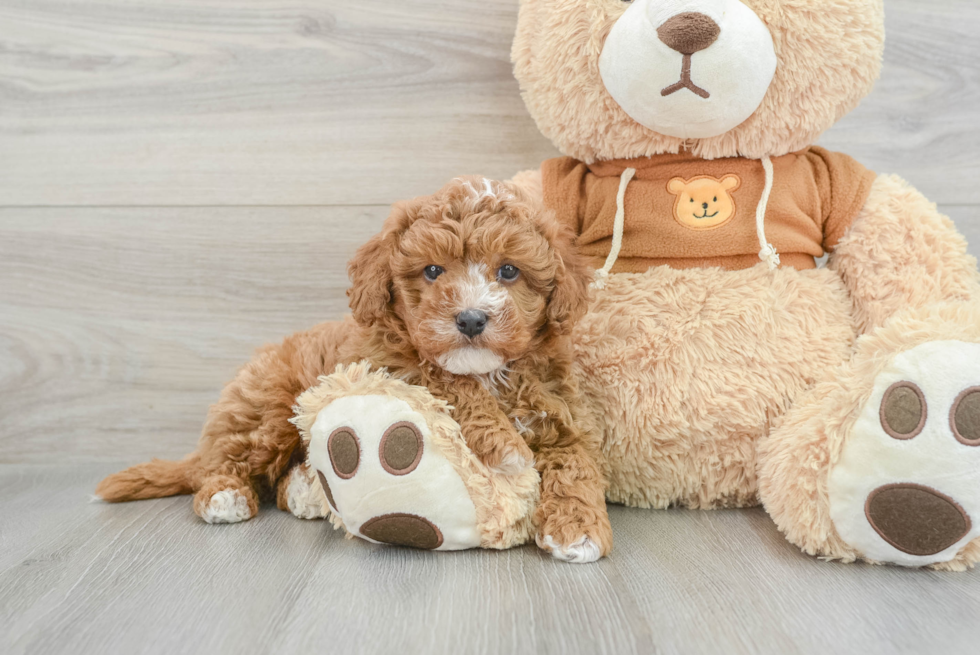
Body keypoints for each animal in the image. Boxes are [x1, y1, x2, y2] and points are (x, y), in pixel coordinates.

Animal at [94, 179, 612, 564]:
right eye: (432, 271)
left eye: (508, 271)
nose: (469, 320)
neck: (490, 373)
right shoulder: (390, 362)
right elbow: (445, 379)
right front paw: (506, 447)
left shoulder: (561, 419)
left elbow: (576, 468)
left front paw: (578, 530)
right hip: (268, 407)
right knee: (225, 461)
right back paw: (226, 496)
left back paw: (303, 489)